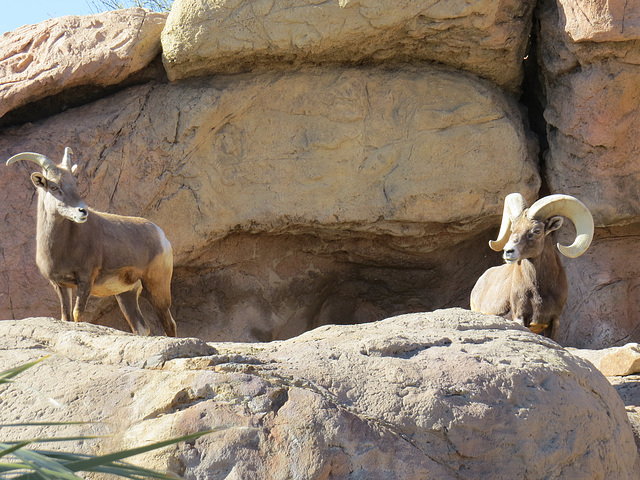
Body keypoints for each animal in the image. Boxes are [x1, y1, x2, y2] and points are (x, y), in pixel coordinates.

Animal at [6, 147, 178, 338]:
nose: (82, 211)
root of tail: (161, 236)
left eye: (75, 184)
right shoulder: (61, 285)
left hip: (156, 287)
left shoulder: (86, 279)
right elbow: (66, 317)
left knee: (169, 324)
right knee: (141, 328)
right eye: (54, 186)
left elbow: (77, 315)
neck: (62, 248)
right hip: (126, 294)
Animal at [470, 193, 596, 340]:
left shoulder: (554, 321)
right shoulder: (520, 318)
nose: (508, 251)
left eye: (537, 231)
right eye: (513, 228)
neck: (539, 290)